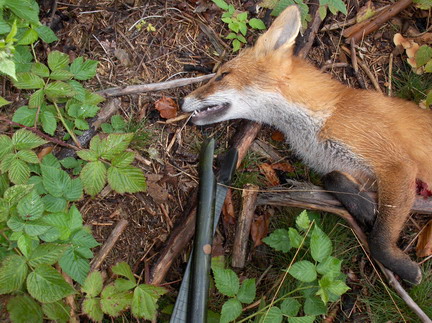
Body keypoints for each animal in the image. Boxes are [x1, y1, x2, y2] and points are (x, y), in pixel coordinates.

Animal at [182, 5, 428, 286]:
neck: (324, 117)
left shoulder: (397, 166)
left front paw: (403, 266)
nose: (183, 100)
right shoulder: (356, 171)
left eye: (223, 75)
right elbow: (332, 178)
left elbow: (380, 239)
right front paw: (364, 207)